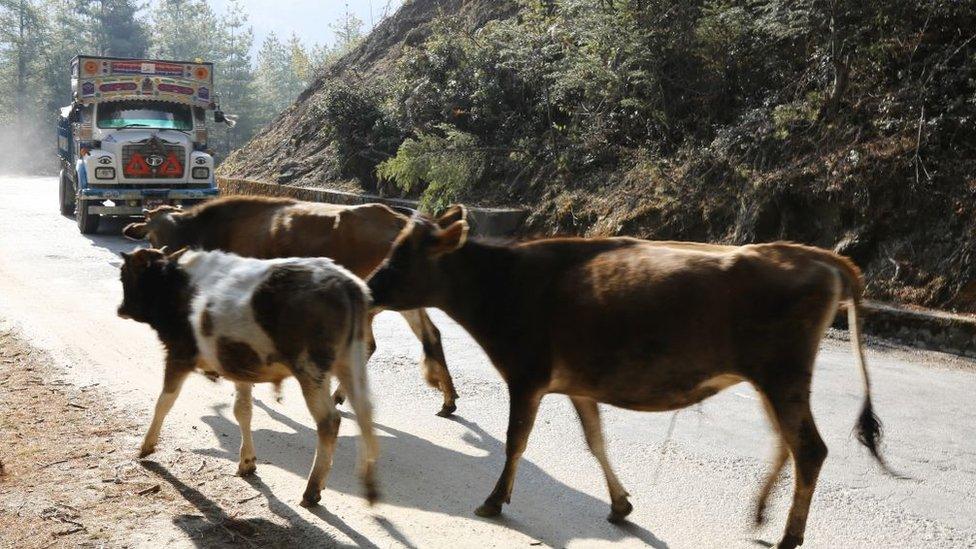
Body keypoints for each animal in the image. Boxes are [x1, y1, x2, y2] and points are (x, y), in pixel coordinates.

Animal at [117, 248, 378, 506]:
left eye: (124, 275)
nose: (121, 309)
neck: (175, 285)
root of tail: (346, 283)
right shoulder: (239, 367)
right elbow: (242, 411)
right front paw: (247, 462)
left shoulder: (179, 355)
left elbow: (164, 402)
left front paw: (147, 445)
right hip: (350, 359)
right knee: (364, 412)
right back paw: (368, 482)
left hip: (311, 368)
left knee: (329, 421)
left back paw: (312, 489)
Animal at [121, 197, 458, 416]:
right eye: (151, 232)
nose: (167, 258)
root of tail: (398, 218)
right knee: (430, 335)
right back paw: (448, 399)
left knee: (373, 343)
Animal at [368, 204, 892, 548]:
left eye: (401, 256)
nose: (369, 286)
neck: (502, 285)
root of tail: (818, 256)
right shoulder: (576, 385)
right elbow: (595, 441)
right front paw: (620, 505)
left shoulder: (526, 374)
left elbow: (516, 440)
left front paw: (495, 501)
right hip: (771, 378)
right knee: (787, 442)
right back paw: (762, 513)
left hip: (782, 373)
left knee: (809, 449)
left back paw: (789, 535)